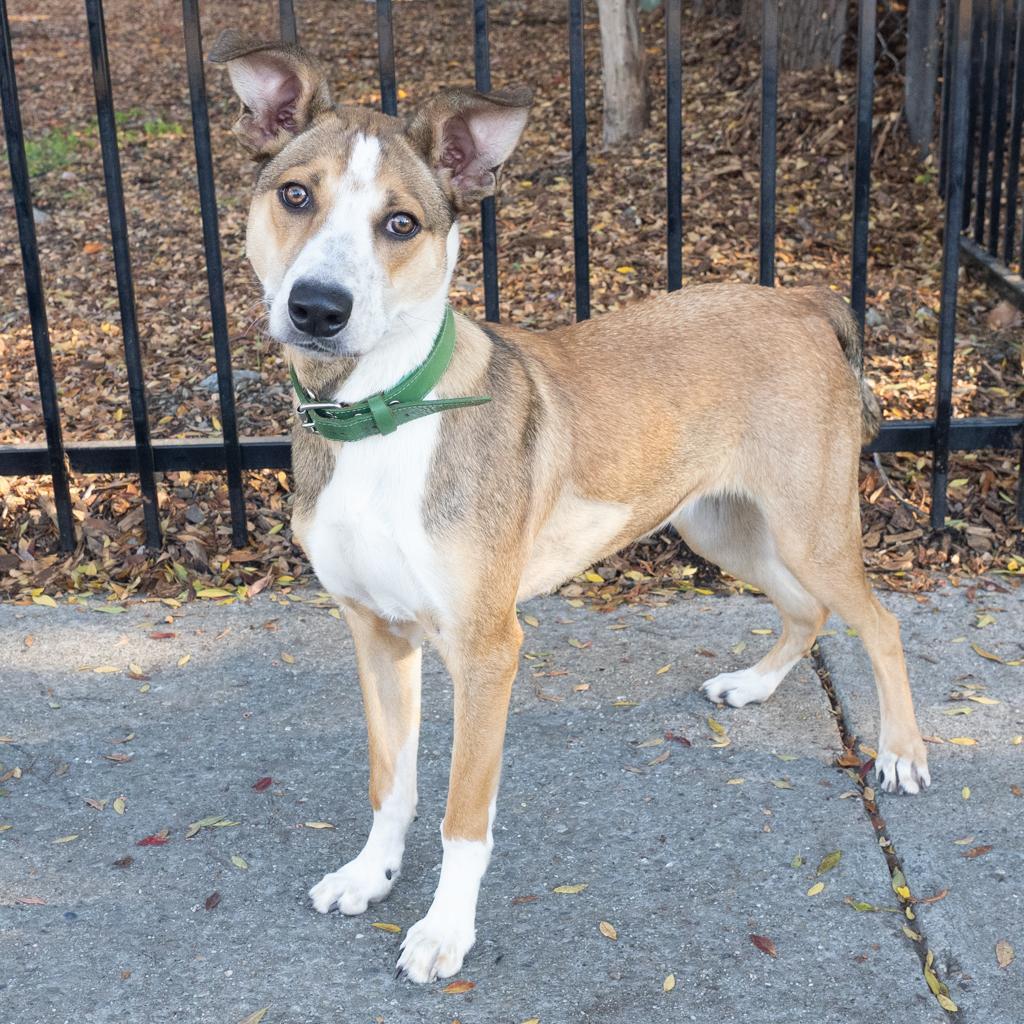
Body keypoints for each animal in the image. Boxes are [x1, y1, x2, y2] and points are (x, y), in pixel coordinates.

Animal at [211, 32, 933, 983]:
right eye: (295, 195)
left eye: (401, 224)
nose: (318, 309)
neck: (381, 417)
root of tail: (800, 298)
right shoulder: (376, 633)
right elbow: (391, 782)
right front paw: (371, 875)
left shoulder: (487, 651)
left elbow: (463, 814)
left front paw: (444, 930)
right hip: (719, 524)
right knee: (806, 611)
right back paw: (754, 683)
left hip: (809, 525)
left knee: (877, 621)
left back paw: (901, 754)